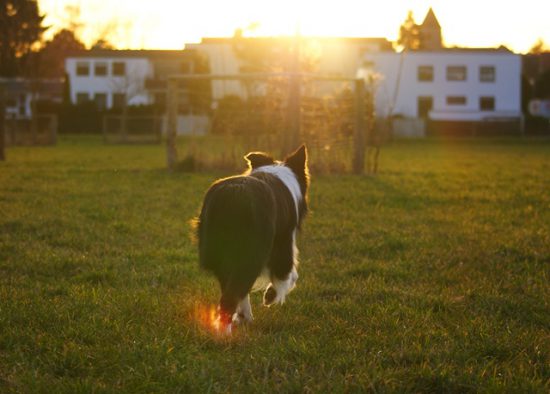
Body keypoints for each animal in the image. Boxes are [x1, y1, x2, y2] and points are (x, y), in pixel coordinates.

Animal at [197, 145, 310, 332]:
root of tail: (232, 196)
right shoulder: (284, 241)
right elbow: (289, 274)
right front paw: (271, 295)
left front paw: (244, 315)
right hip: (252, 252)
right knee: (232, 294)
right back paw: (226, 332)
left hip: (220, 253)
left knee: (232, 288)